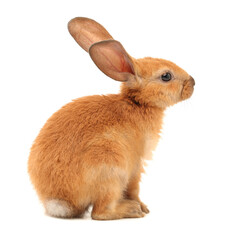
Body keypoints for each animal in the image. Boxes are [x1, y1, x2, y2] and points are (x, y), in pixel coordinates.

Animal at [27, 16, 195, 219]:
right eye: (166, 76)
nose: (193, 82)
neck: (137, 103)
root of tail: (59, 202)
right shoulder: (135, 165)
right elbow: (134, 189)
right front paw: (142, 207)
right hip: (110, 171)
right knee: (100, 212)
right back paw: (131, 210)